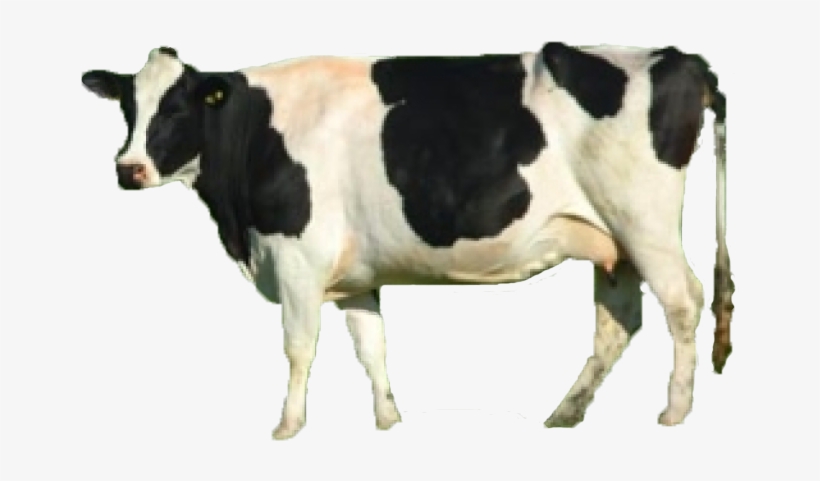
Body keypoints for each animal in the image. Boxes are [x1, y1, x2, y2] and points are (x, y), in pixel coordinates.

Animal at [81, 43, 734, 440]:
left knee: (683, 301)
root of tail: (680, 57)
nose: (128, 168)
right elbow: (372, 346)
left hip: (644, 222)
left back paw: (675, 411)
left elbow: (298, 348)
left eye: (176, 108)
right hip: (611, 241)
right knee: (617, 324)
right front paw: (389, 421)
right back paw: (565, 414)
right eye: (129, 108)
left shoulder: (297, 258)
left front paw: (288, 427)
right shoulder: (354, 275)